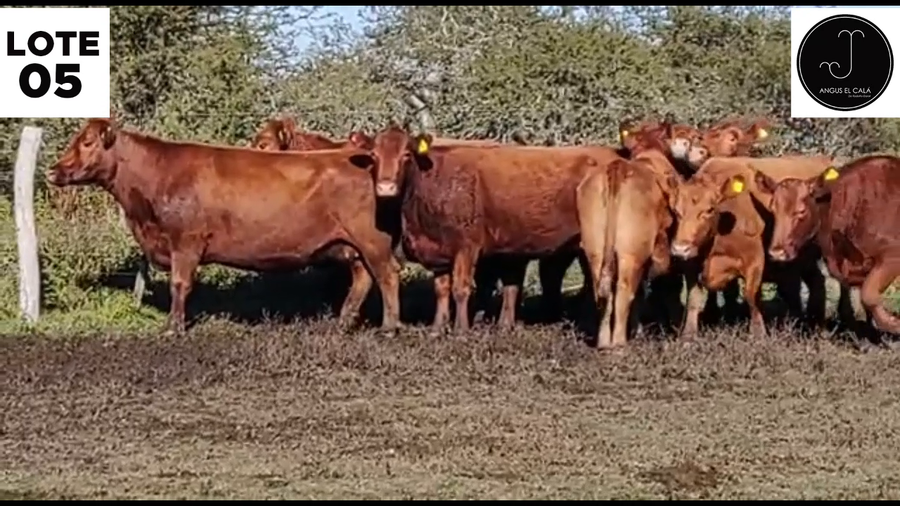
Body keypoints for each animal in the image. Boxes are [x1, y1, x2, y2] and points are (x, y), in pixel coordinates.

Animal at [46, 117, 402, 335]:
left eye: (88, 141)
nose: (52, 171)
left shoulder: (185, 241)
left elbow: (179, 284)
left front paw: (173, 327)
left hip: (373, 240)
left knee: (387, 275)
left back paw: (389, 326)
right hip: (352, 246)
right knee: (362, 278)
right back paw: (343, 322)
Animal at [347, 123, 623, 331]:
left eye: (406, 154)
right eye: (374, 156)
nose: (385, 187)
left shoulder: (466, 247)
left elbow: (461, 288)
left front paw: (460, 329)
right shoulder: (438, 250)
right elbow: (441, 289)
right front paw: (437, 328)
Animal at [667, 155, 836, 338]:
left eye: (709, 210)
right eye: (676, 210)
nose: (680, 248)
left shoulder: (754, 261)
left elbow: (751, 296)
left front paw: (758, 333)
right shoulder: (690, 262)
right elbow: (693, 297)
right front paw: (689, 334)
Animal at [749, 156, 900, 334]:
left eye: (801, 211)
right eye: (773, 209)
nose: (777, 252)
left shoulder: (892, 255)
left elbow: (868, 295)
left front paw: (893, 323)